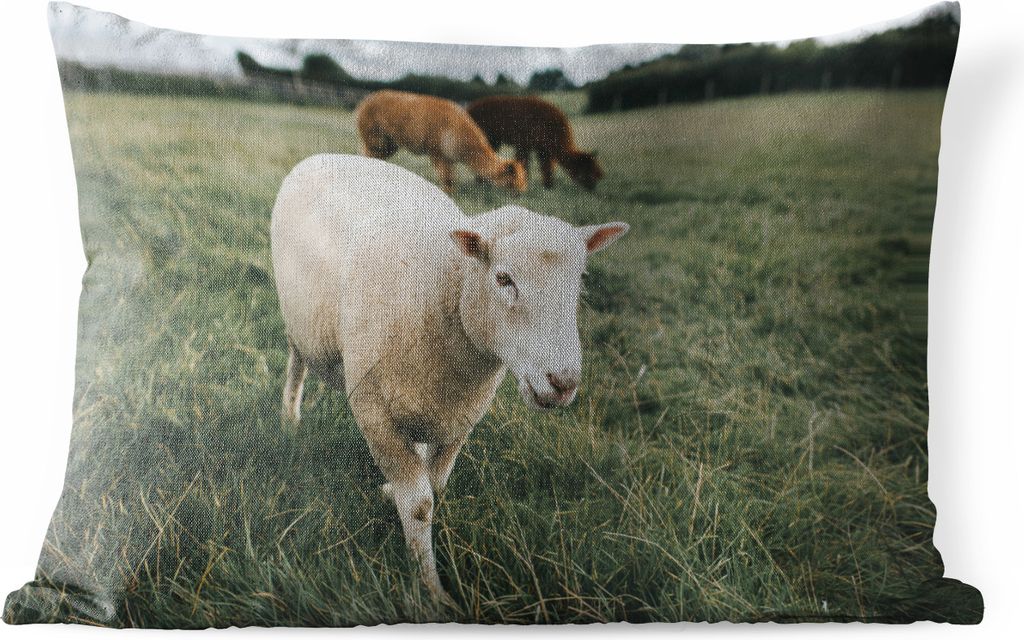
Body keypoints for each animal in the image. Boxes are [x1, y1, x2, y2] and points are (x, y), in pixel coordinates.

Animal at [270, 153, 628, 603]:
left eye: (580, 280)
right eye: (503, 278)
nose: (563, 382)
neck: (447, 288)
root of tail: (327, 156)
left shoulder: (462, 417)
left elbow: (436, 486)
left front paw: (395, 495)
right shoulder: (373, 413)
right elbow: (420, 504)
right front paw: (431, 591)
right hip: (297, 324)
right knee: (296, 363)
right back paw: (289, 419)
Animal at [355, 89, 527, 195]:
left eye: (523, 179)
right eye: (515, 180)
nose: (522, 192)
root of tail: (365, 100)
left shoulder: (449, 157)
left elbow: (450, 180)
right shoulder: (437, 152)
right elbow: (447, 179)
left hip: (389, 142)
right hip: (375, 136)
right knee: (369, 153)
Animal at [467, 95, 605, 190]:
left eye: (595, 172)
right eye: (587, 172)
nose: (592, 188)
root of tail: (469, 109)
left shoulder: (542, 148)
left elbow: (546, 167)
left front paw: (548, 186)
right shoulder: (525, 144)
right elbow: (526, 164)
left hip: (494, 140)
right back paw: (481, 183)